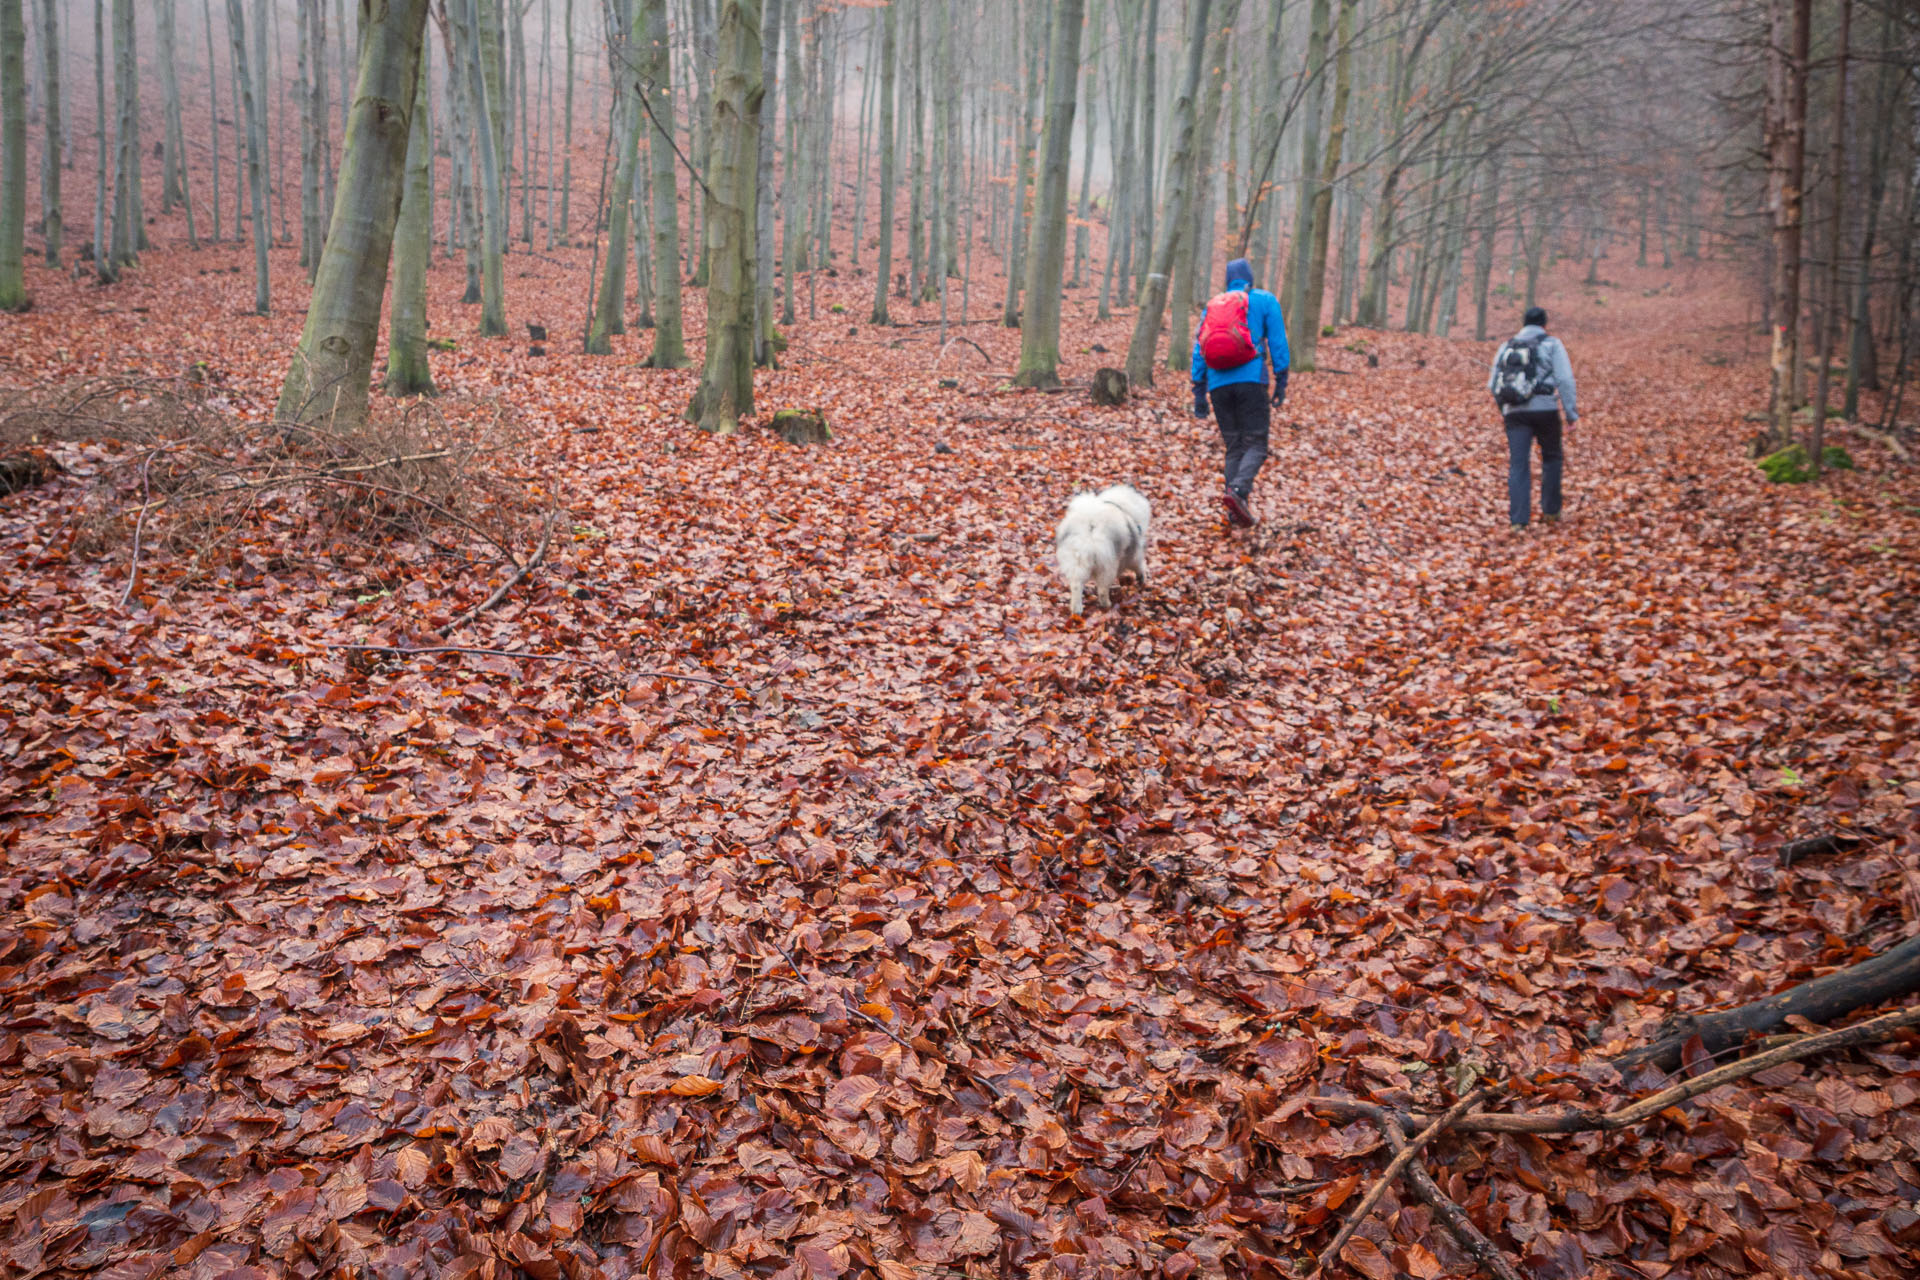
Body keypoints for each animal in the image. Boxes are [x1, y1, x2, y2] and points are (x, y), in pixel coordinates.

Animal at [1059, 485, 1144, 614]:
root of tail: (1090, 527)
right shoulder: (1134, 555)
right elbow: (1140, 566)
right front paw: (1142, 579)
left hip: (1076, 562)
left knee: (1076, 585)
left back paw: (1076, 609)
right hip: (1108, 566)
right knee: (1103, 590)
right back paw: (1106, 604)